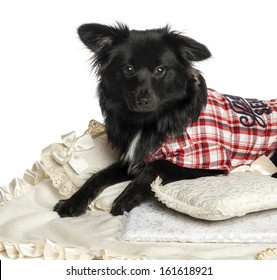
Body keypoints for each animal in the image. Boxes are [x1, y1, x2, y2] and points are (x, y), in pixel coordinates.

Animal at [52, 23, 274, 218]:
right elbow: (98, 176)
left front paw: (125, 198)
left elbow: (158, 166)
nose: (142, 100)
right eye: (128, 69)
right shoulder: (134, 160)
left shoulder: (209, 161)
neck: (151, 121)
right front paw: (73, 201)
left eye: (160, 70)